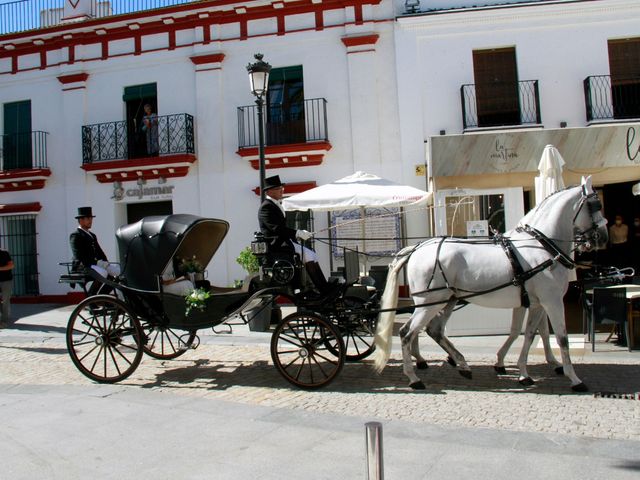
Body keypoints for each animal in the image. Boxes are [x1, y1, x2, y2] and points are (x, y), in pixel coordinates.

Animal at [372, 178, 608, 392]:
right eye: (596, 204)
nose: (603, 238)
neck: (540, 246)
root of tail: (417, 248)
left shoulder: (536, 303)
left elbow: (529, 334)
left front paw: (522, 372)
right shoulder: (552, 301)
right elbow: (561, 338)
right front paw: (574, 379)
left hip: (445, 300)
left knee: (433, 330)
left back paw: (461, 365)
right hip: (431, 301)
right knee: (406, 333)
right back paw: (414, 378)